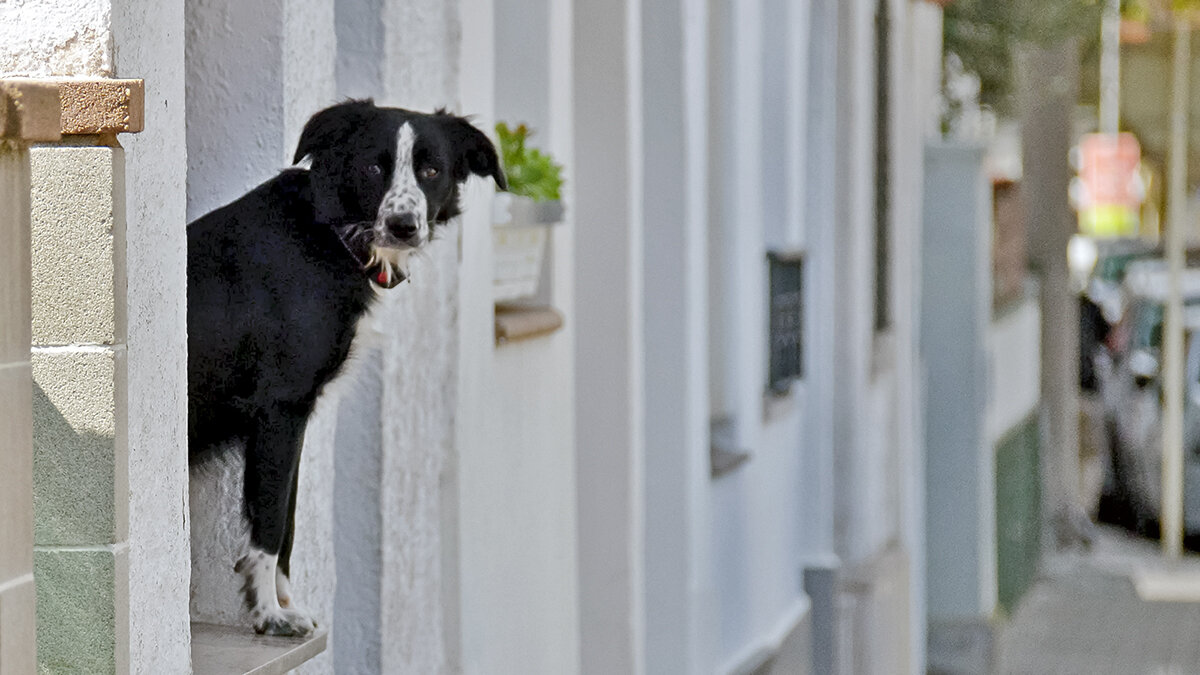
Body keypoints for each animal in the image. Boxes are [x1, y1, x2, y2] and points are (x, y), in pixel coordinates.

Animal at [187, 98, 506, 629]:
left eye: (431, 170)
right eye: (373, 167)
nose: (403, 226)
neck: (329, 234)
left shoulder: (289, 418)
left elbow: (289, 521)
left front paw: (285, 602)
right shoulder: (282, 407)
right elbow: (271, 520)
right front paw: (270, 615)